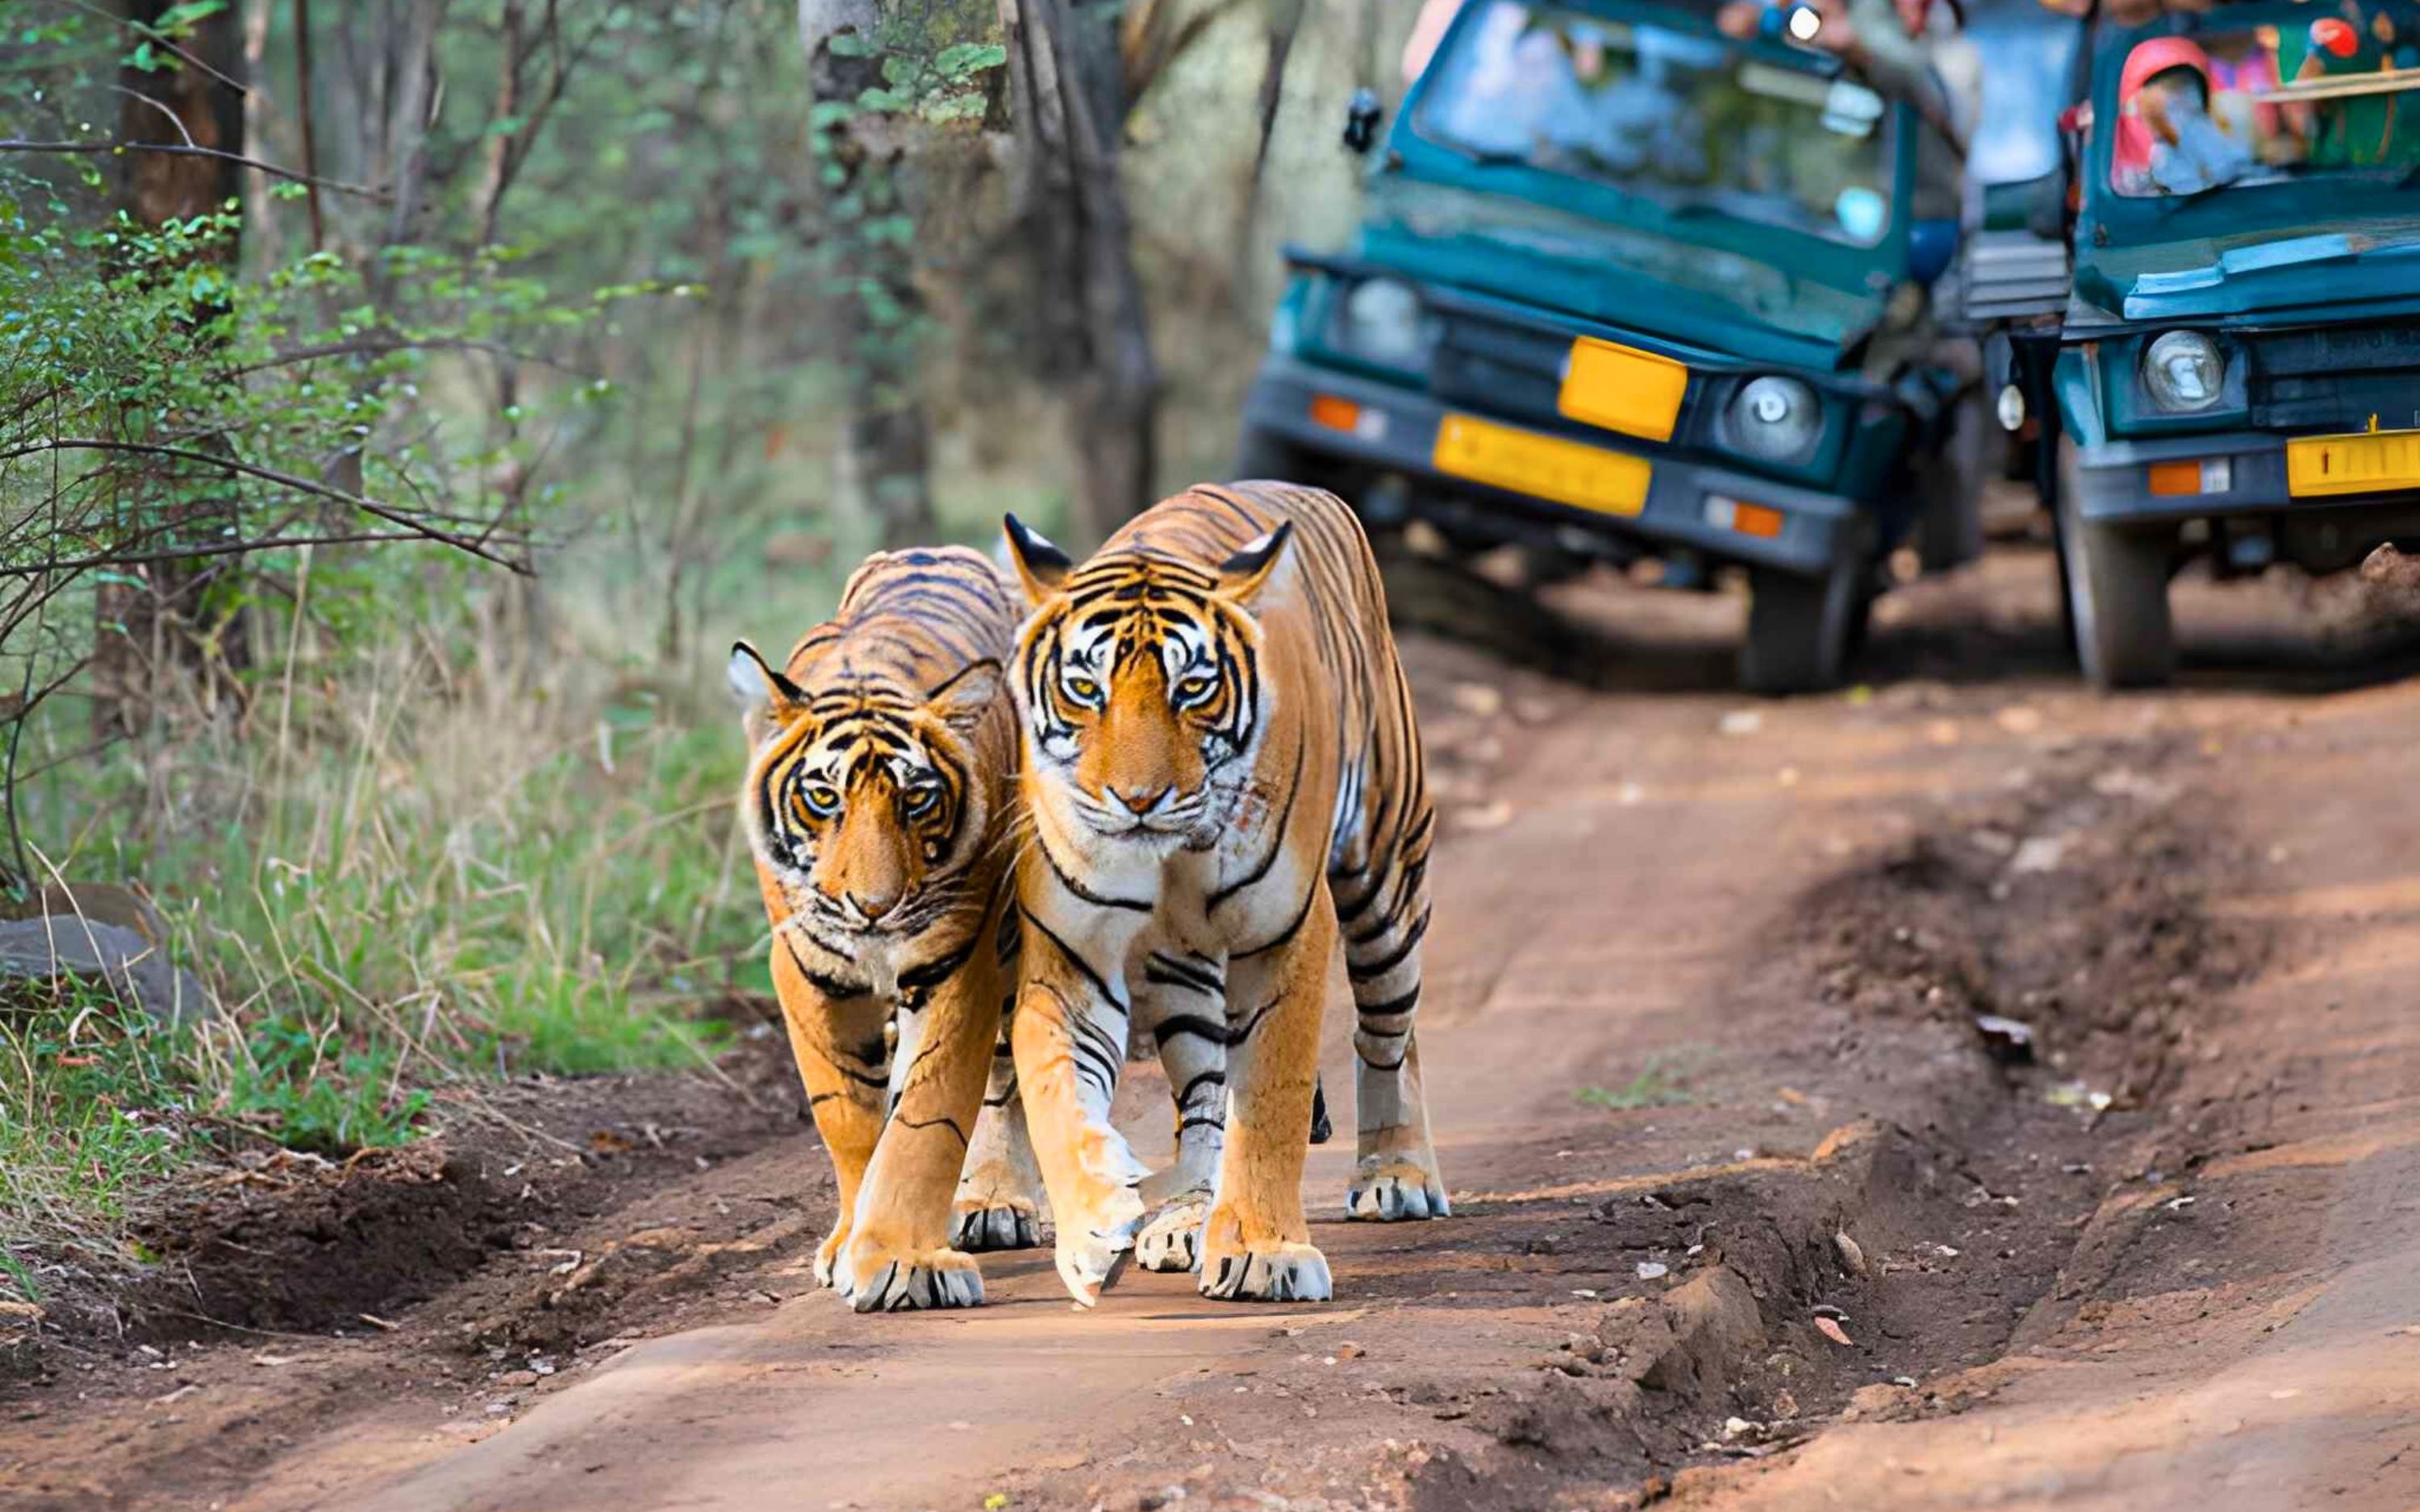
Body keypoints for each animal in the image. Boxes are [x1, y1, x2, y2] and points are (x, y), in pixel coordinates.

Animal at [999, 480, 1448, 1307]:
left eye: (1193, 688)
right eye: (1085, 688)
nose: (1137, 799)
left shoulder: (1285, 935)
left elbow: (1269, 1097)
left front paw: (1264, 1253)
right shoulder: (1072, 956)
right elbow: (1055, 1090)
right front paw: (1094, 1230)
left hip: (1386, 878)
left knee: (1387, 1032)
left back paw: (1396, 1174)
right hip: (1183, 972)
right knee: (1205, 1095)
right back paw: (1184, 1219)